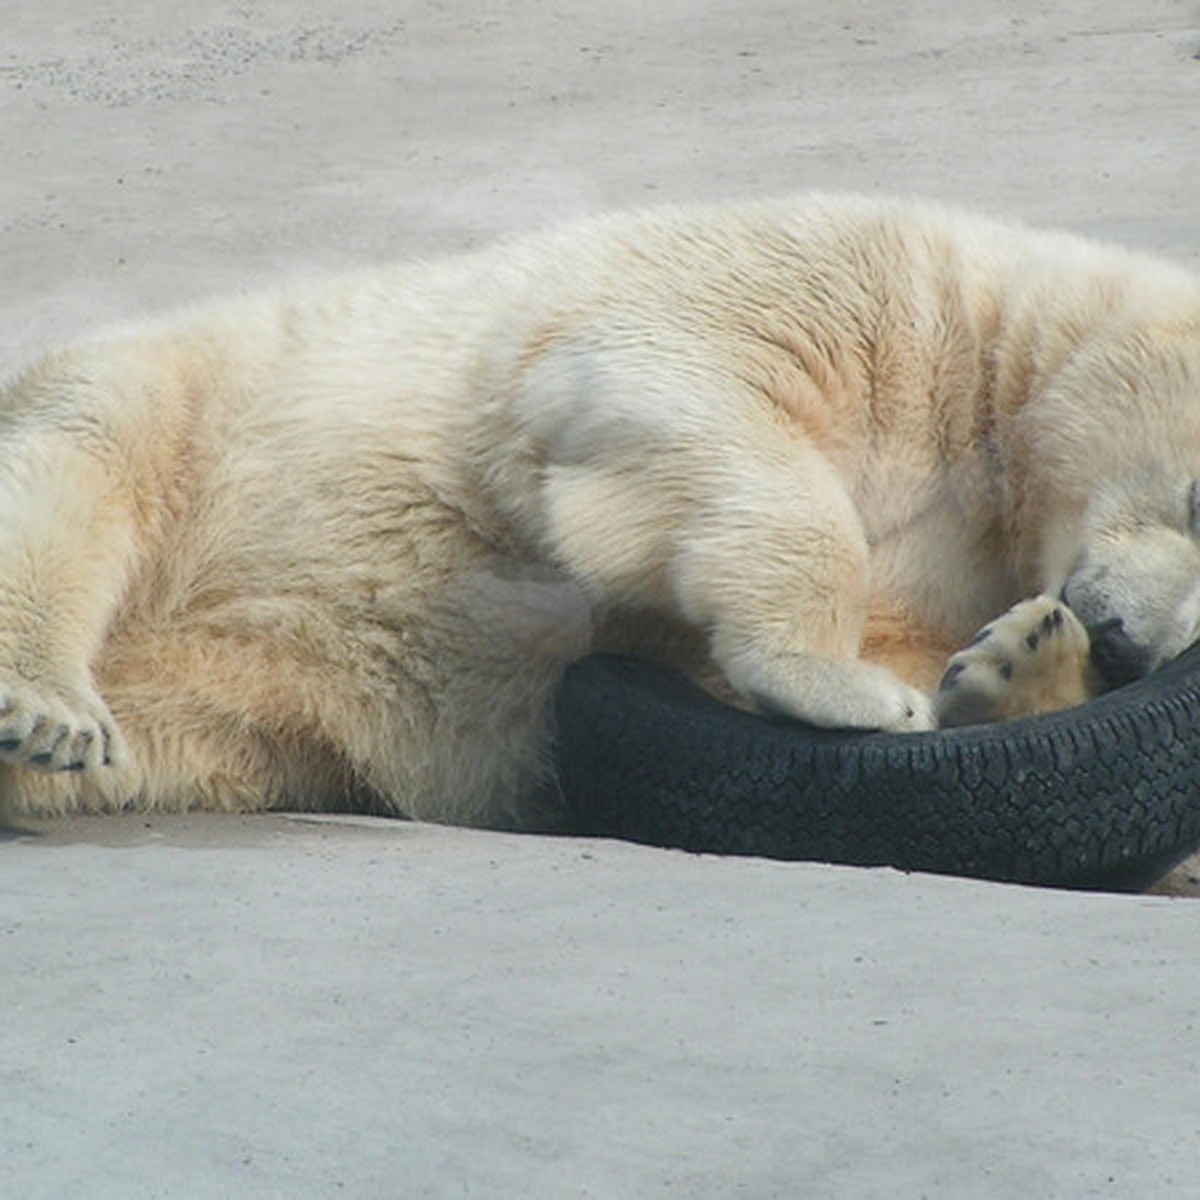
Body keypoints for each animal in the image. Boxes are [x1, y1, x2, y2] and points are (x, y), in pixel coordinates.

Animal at [2, 194, 1200, 825]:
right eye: (1196, 499)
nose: (1132, 645)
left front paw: (1023, 658)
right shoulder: (866, 285)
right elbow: (679, 371)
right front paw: (842, 684)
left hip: (222, 715)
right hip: (197, 410)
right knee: (77, 472)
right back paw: (48, 709)